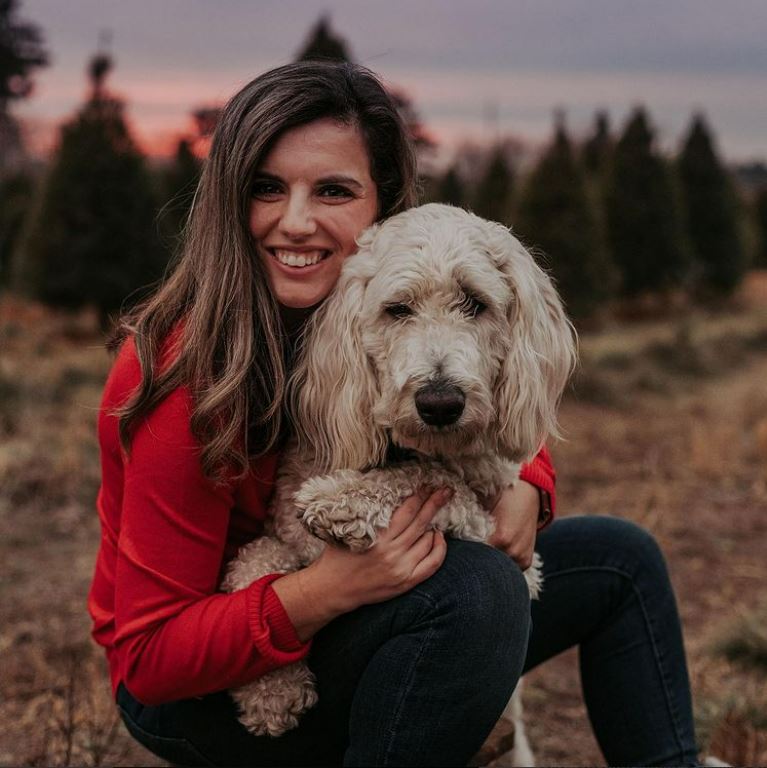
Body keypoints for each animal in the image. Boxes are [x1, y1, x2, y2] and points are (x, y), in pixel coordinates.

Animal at [220, 204, 576, 756]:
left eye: (474, 303)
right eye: (398, 310)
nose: (440, 403)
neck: (404, 446)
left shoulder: (505, 544)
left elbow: (429, 477)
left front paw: (342, 498)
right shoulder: (283, 536)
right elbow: (256, 565)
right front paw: (271, 692)